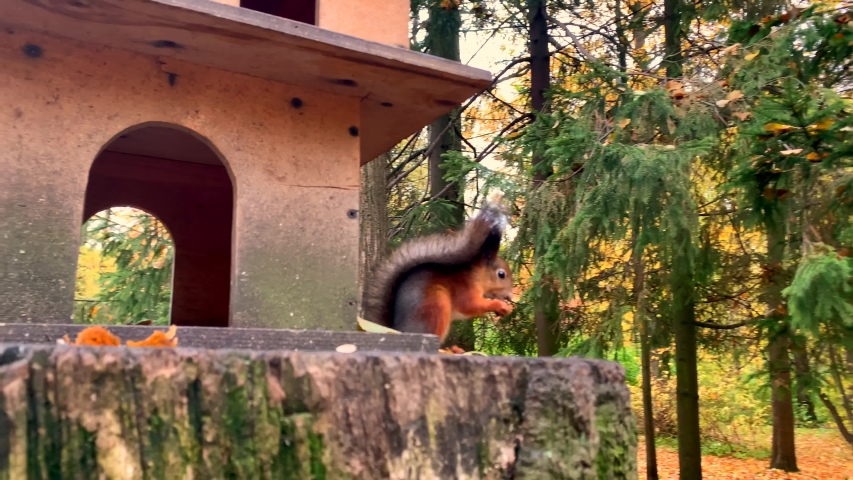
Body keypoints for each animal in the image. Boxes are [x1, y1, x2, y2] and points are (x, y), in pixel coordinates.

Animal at [362, 201, 514, 342]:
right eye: (501, 274)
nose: (510, 297)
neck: (476, 275)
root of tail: (398, 331)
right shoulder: (464, 288)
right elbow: (470, 305)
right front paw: (499, 305)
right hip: (437, 305)